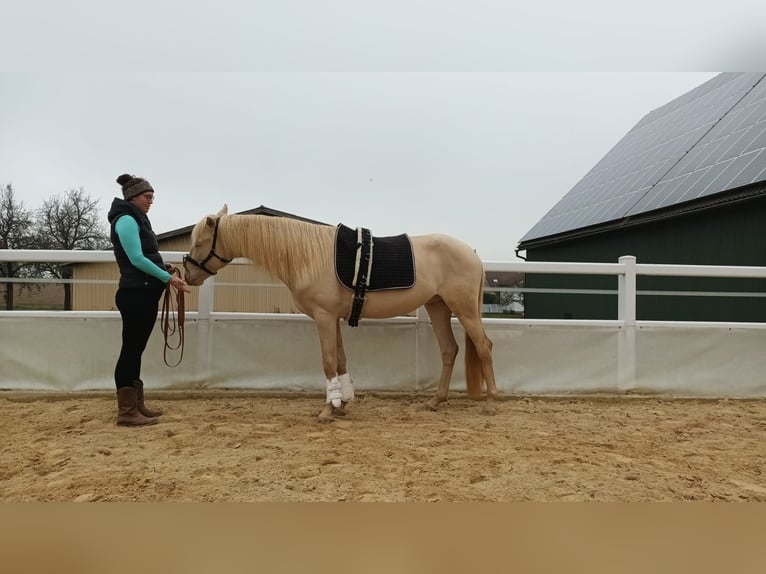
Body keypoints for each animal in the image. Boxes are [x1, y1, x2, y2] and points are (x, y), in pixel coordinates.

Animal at [185, 207, 498, 424]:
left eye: (199, 242)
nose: (188, 276)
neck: (308, 256)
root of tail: (472, 254)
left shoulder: (323, 317)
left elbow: (328, 361)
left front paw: (327, 410)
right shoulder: (333, 318)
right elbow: (340, 359)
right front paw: (343, 403)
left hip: (464, 308)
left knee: (483, 346)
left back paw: (491, 403)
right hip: (438, 306)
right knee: (449, 349)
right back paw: (435, 401)